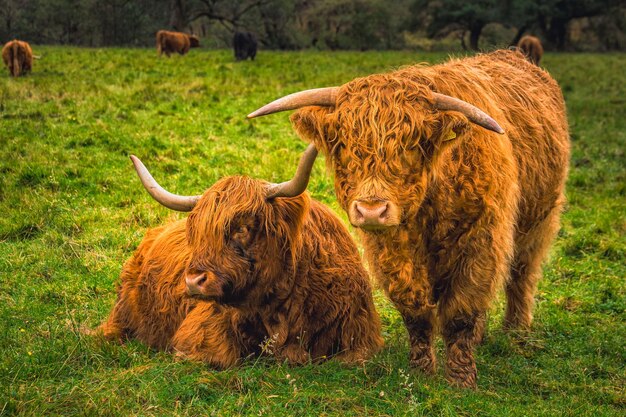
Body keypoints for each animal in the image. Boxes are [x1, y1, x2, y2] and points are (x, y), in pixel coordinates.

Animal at [246, 49, 568, 386]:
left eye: (413, 144)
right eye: (343, 144)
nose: (371, 210)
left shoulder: (480, 244)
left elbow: (461, 312)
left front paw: (461, 379)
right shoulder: (391, 252)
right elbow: (415, 311)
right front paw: (421, 371)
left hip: (540, 220)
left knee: (522, 272)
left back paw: (516, 331)